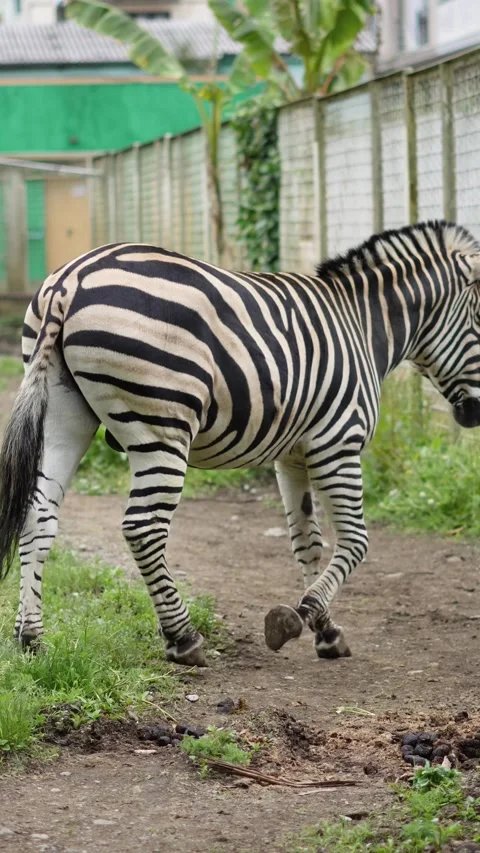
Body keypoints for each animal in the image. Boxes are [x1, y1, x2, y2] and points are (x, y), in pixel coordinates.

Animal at [1, 220, 480, 667]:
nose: (475, 414)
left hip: (63, 414)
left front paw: (324, 629)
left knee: (39, 513)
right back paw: (183, 638)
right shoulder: (338, 441)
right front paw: (301, 616)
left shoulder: (293, 455)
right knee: (143, 528)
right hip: (162, 427)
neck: (363, 326)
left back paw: (31, 638)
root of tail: (71, 280)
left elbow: (307, 540)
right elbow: (355, 539)